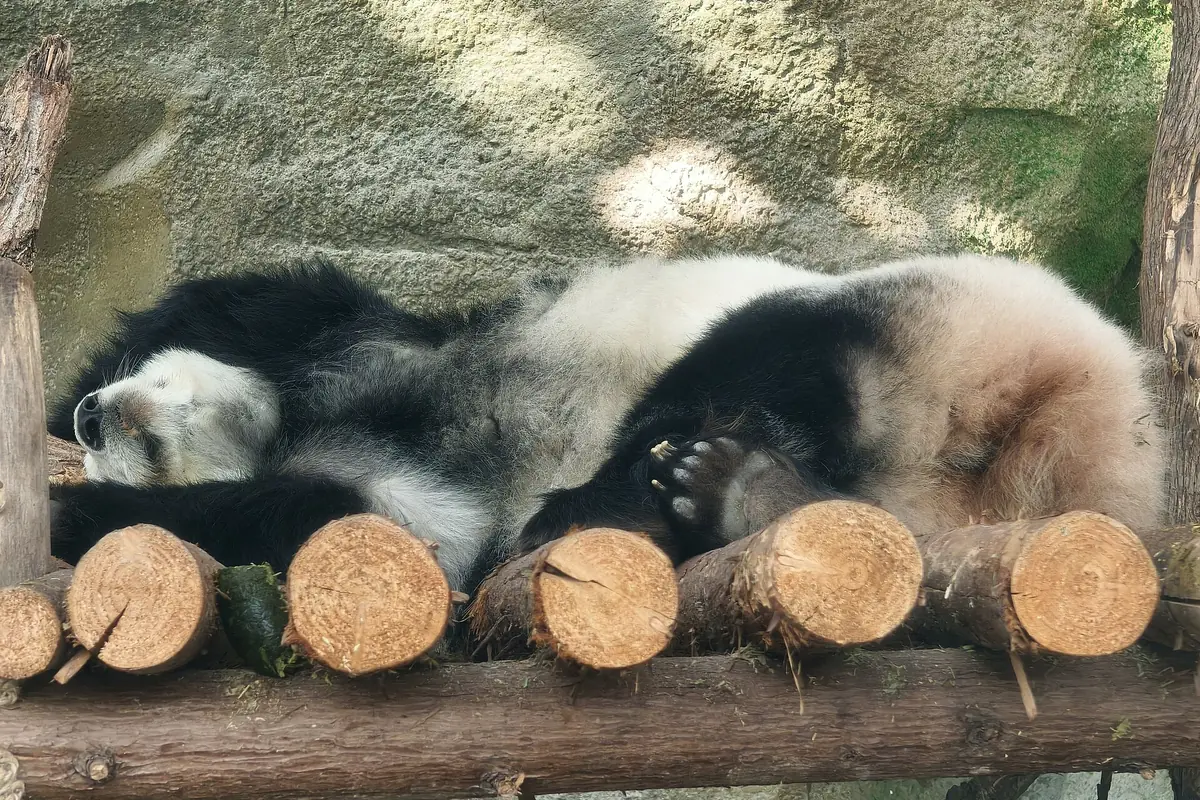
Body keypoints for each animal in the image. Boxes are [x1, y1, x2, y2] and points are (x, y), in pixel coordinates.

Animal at [48, 253, 1164, 596]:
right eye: (113, 442)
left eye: (154, 398)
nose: (96, 418)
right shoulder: (396, 467)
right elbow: (368, 519)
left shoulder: (354, 338)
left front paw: (68, 514)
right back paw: (753, 499)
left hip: (944, 309)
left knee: (750, 353)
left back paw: (623, 507)